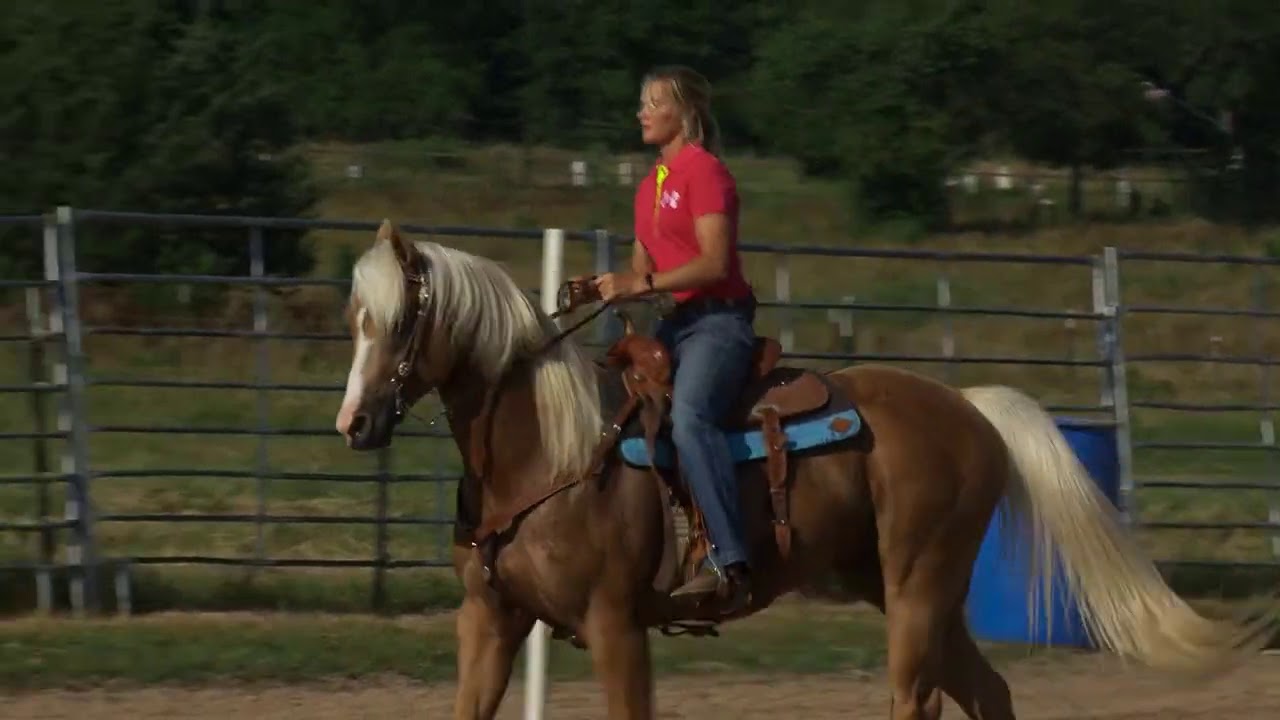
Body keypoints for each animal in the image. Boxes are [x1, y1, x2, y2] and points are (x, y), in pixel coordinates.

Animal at [334, 220, 1277, 720]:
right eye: (354, 320)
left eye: (398, 320)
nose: (354, 424)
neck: (549, 452)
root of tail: (969, 408)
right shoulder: (489, 622)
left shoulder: (615, 624)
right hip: (904, 587)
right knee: (988, 691)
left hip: (921, 583)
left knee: (919, 699)